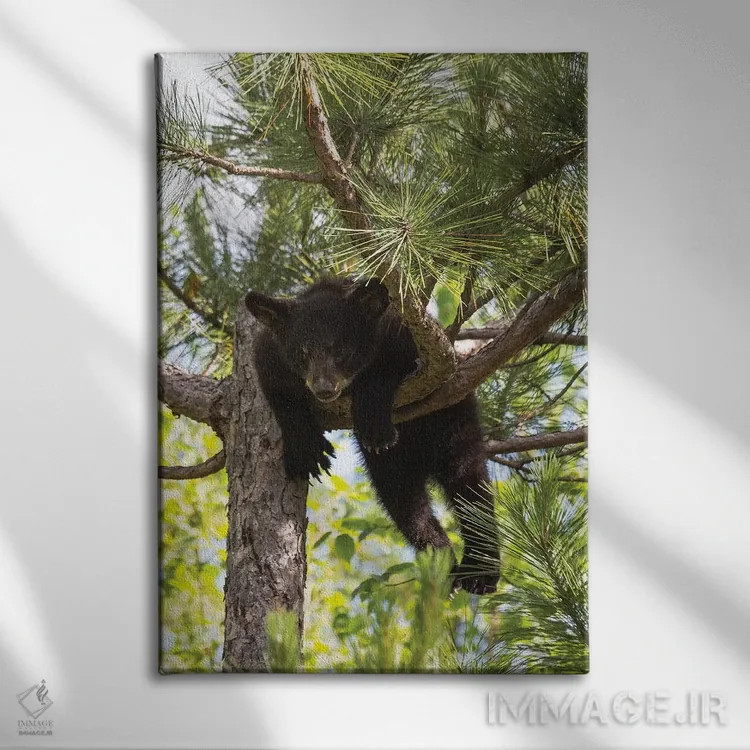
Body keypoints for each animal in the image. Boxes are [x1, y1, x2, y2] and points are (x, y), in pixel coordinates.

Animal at [245, 277, 499, 594]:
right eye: (303, 352)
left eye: (341, 350)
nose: (323, 388)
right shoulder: (272, 353)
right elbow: (278, 390)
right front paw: (306, 450)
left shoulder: (406, 338)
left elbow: (393, 372)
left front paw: (374, 421)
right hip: (391, 468)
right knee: (404, 501)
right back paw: (442, 559)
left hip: (454, 422)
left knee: (469, 484)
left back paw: (481, 573)